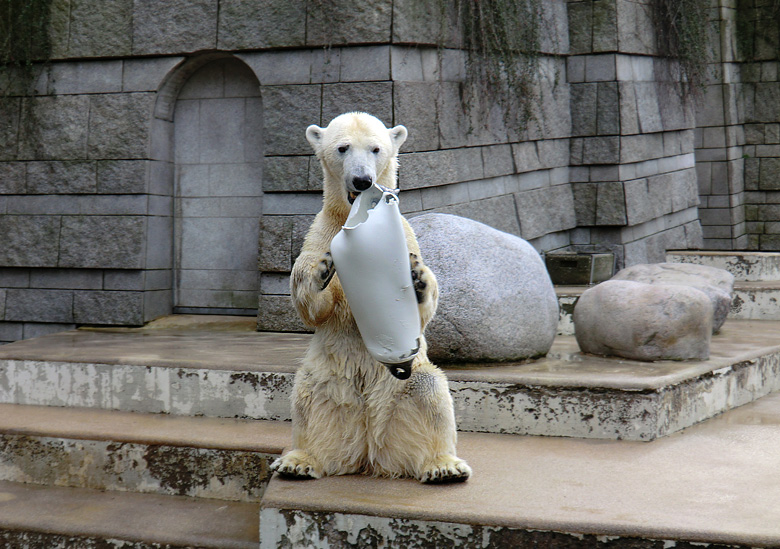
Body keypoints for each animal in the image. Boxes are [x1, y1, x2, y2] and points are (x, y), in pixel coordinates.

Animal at [270, 113, 470, 482]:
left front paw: (417, 277)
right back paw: (299, 461)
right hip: (328, 381)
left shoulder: (406, 234)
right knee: (307, 400)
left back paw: (444, 465)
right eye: (342, 148)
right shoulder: (320, 233)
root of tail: (369, 451)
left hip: (405, 388)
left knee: (431, 393)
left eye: (376, 149)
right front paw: (322, 270)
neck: (350, 216)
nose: (363, 180)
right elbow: (311, 306)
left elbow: (426, 309)